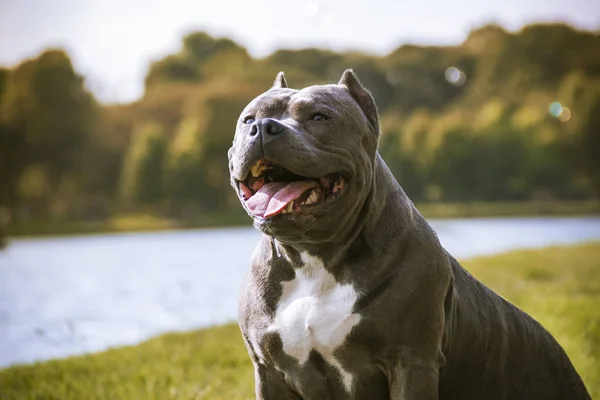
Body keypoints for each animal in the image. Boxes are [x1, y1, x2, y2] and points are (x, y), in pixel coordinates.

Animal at [226, 70, 592, 398]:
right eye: (247, 119)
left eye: (319, 116)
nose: (263, 128)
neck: (315, 259)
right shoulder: (269, 372)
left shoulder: (411, 362)